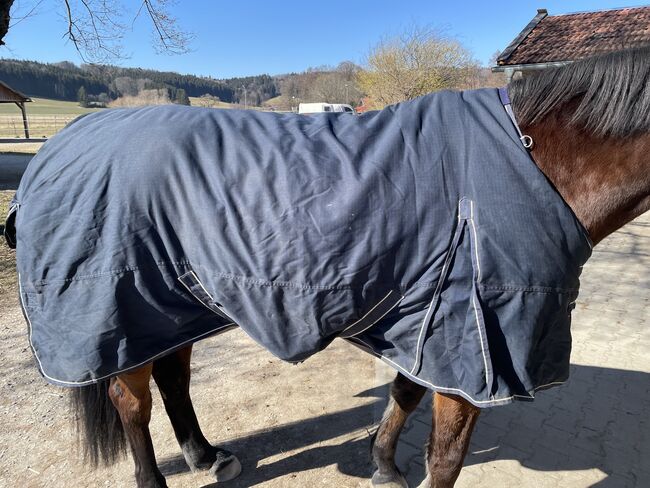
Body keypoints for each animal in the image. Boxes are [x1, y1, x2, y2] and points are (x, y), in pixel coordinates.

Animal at [6, 43, 648, 486]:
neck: (532, 156)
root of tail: (57, 147)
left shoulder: (431, 320)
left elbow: (405, 393)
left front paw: (383, 464)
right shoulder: (476, 346)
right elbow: (446, 457)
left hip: (169, 303)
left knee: (173, 377)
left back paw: (206, 456)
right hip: (119, 304)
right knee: (132, 404)